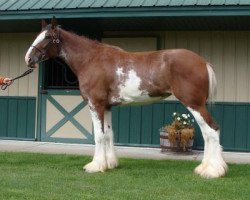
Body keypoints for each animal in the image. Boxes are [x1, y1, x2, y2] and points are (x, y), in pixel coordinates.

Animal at [24, 18, 227, 178]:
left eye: (47, 37)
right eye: (38, 35)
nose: (28, 59)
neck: (91, 59)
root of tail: (202, 61)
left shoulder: (95, 104)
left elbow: (99, 136)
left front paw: (95, 166)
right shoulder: (107, 106)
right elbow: (108, 134)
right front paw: (110, 163)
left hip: (194, 104)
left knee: (211, 130)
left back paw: (212, 171)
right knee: (209, 132)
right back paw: (205, 168)